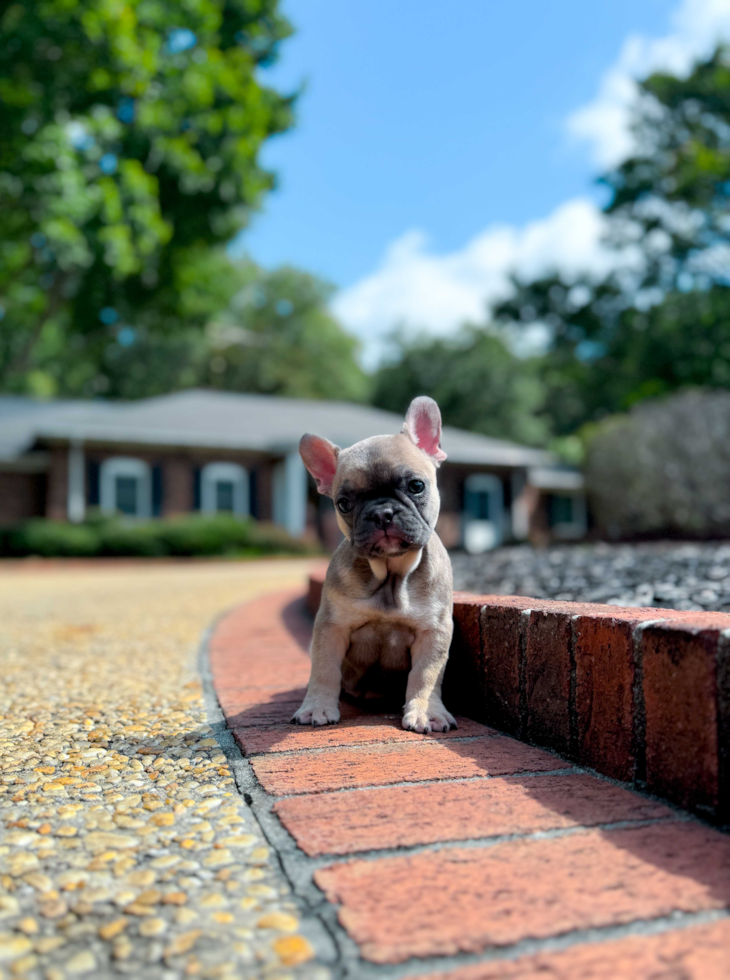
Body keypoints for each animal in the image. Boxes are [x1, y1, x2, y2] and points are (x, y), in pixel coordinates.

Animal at [292, 394, 452, 732]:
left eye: (416, 486)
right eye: (344, 503)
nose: (382, 512)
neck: (390, 575)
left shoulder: (435, 631)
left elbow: (426, 674)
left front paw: (425, 712)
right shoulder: (331, 626)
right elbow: (324, 669)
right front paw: (317, 707)